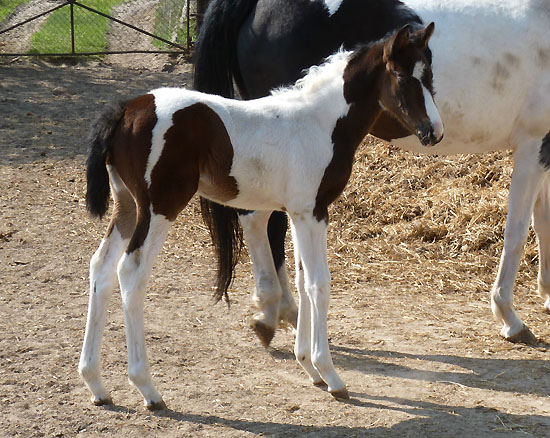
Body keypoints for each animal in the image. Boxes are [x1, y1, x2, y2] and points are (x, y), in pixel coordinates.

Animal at [196, 0, 550, 350]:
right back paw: (276, 311)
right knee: (258, 219)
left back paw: (285, 313)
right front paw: (510, 317)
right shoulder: (533, 144)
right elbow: (517, 231)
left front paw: (546, 294)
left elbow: (542, 222)